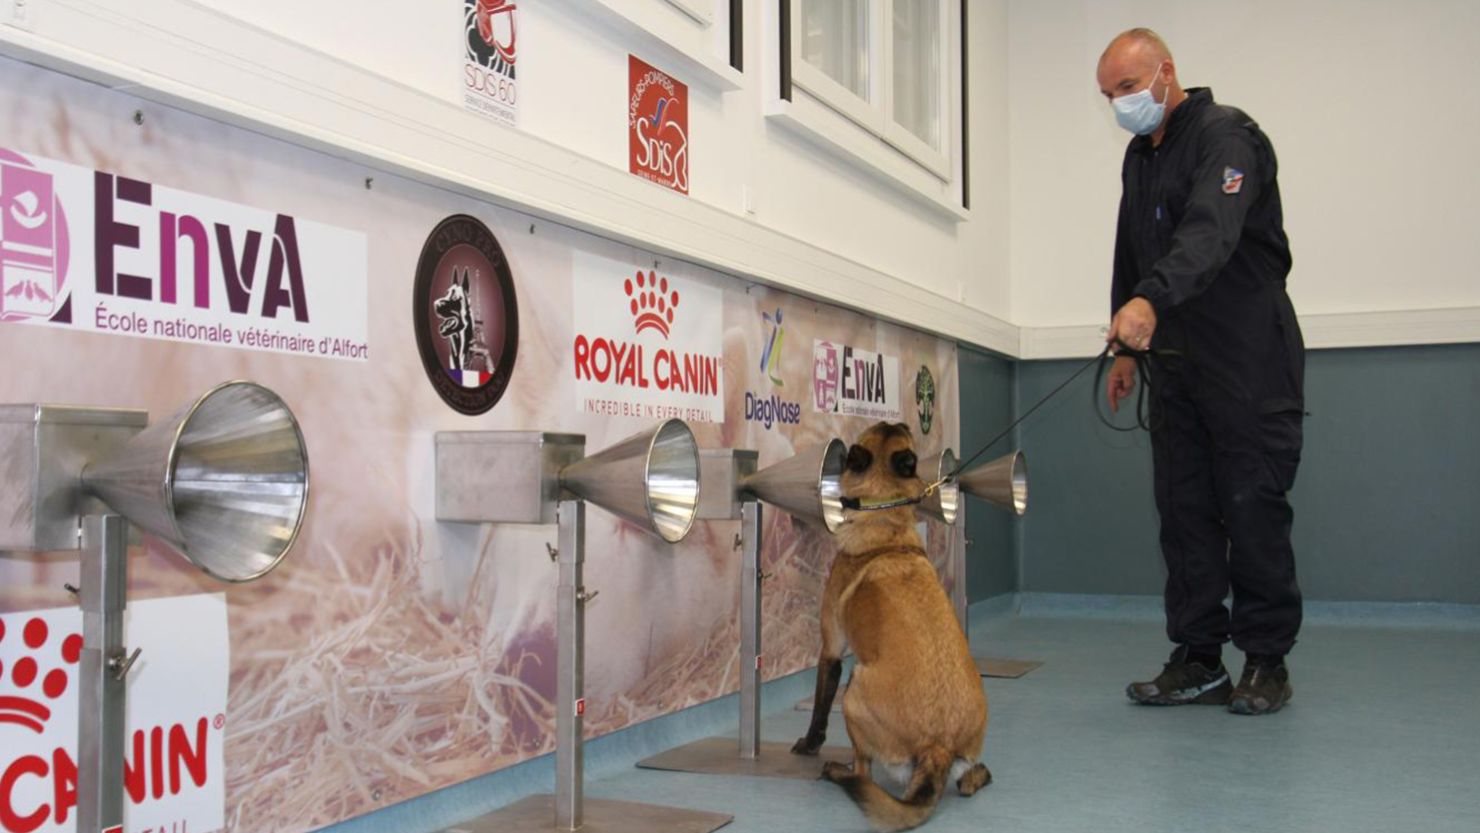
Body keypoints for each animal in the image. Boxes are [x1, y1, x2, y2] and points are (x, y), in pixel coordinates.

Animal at [793, 426, 988, 828]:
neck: (887, 526)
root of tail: (938, 748)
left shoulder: (830, 650)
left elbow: (819, 708)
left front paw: (809, 744)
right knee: (969, 782)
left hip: (853, 692)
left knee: (863, 770)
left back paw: (837, 771)